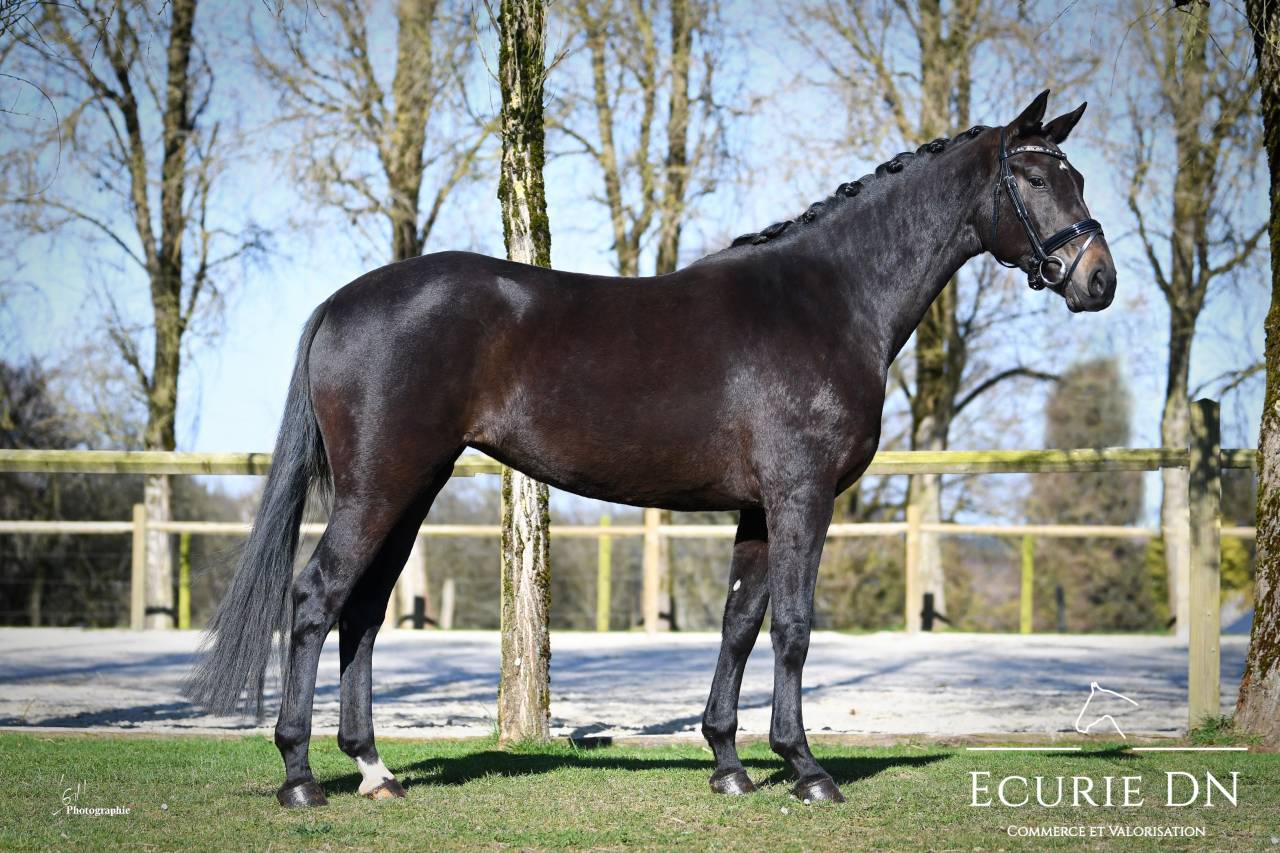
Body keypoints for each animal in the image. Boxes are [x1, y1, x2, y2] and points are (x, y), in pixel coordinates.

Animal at [185, 90, 1117, 807]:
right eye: (1036, 176)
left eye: (1076, 175)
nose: (1098, 279)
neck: (829, 299)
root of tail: (341, 302)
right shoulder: (803, 495)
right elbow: (793, 626)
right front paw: (806, 768)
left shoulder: (757, 508)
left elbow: (739, 623)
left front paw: (731, 764)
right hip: (378, 486)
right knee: (315, 599)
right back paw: (301, 777)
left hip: (409, 488)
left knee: (365, 610)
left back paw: (376, 770)